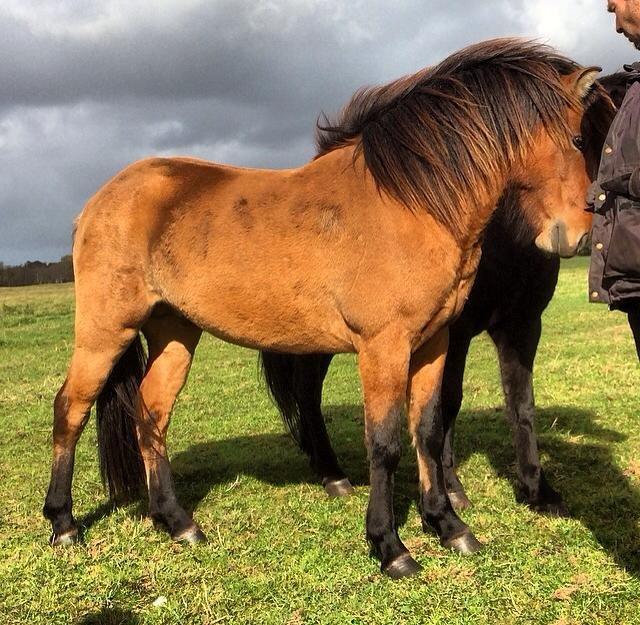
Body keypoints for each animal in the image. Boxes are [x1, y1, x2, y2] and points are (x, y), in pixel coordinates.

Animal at [258, 75, 620, 516]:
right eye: (581, 141)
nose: (579, 235)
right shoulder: (455, 331)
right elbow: (447, 402)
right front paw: (453, 490)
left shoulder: (522, 326)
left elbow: (521, 404)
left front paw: (538, 489)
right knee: (308, 393)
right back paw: (332, 473)